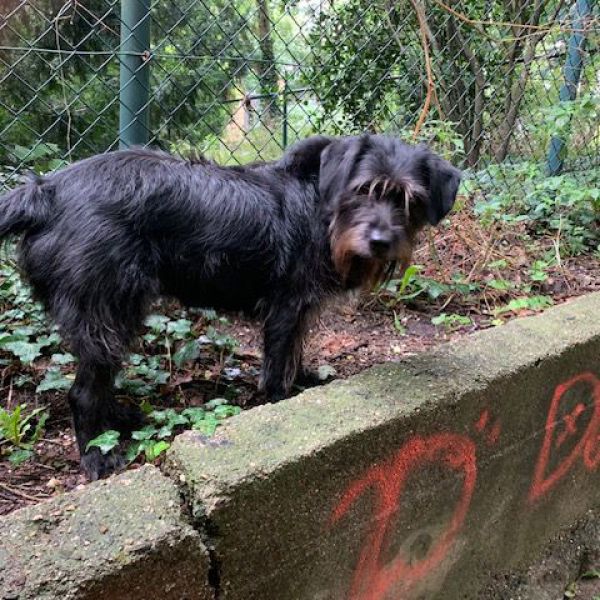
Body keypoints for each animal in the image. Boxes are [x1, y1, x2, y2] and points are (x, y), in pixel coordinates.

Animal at [0, 135, 462, 478]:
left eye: (410, 201)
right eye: (363, 190)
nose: (381, 242)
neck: (320, 201)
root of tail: (46, 191)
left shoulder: (300, 311)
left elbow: (294, 353)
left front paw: (305, 381)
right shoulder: (285, 307)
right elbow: (277, 364)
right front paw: (282, 402)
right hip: (109, 311)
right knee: (82, 393)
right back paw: (97, 455)